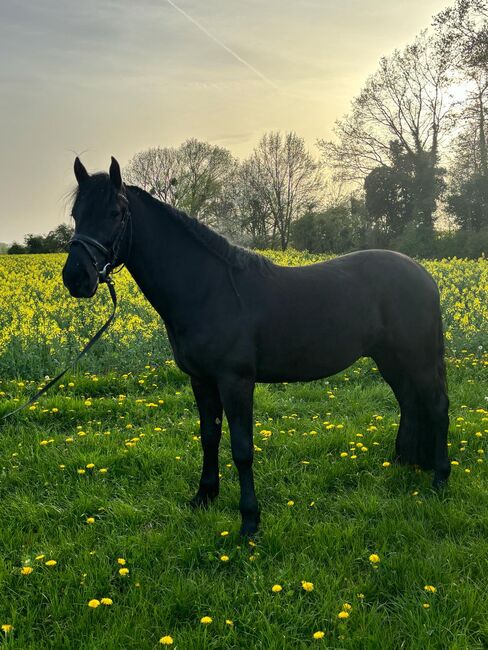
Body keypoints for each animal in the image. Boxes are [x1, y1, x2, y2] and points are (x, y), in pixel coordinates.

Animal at [63, 156, 450, 532]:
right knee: (410, 403)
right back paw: (407, 463)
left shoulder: (235, 381)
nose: (76, 277)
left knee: (437, 407)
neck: (209, 290)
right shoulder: (201, 380)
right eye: (76, 214)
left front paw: (249, 520)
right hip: (390, 359)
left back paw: (440, 479)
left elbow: (242, 449)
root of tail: (423, 274)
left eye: (115, 213)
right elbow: (209, 437)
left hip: (418, 359)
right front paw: (204, 497)